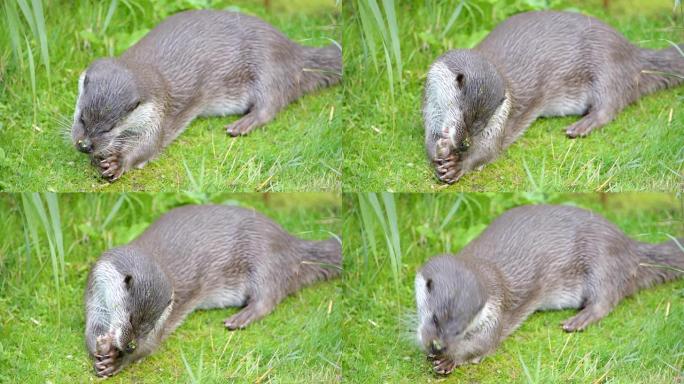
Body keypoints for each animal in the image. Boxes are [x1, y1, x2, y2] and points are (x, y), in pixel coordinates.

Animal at [69, 9, 342, 181]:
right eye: (82, 117)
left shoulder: (158, 113)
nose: (84, 145)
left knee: (270, 105)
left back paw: (242, 124)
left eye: (109, 128)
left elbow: (149, 146)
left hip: (268, 66)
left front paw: (118, 162)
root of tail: (292, 48)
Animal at [85, 206, 342, 376]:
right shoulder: (94, 295)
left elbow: (149, 346)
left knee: (268, 297)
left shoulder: (161, 324)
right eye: (130, 318)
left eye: (149, 325)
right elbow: (91, 329)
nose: (129, 345)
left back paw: (240, 318)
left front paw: (117, 361)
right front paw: (101, 348)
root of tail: (287, 239)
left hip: (264, 259)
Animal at [416, 206, 684, 374]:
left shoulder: (496, 312)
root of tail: (627, 243)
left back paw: (578, 320)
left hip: (602, 259)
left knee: (606, 298)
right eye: (435, 318)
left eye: (460, 330)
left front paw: (449, 360)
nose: (438, 346)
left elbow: (483, 344)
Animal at [424, 10, 680, 184]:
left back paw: (581, 126)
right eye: (462, 115)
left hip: (606, 66)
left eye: (482, 124)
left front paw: (458, 164)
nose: (463, 144)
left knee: (610, 104)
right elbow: (429, 139)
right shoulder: (430, 109)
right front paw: (440, 151)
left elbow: (488, 150)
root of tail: (631, 50)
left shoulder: (501, 116)